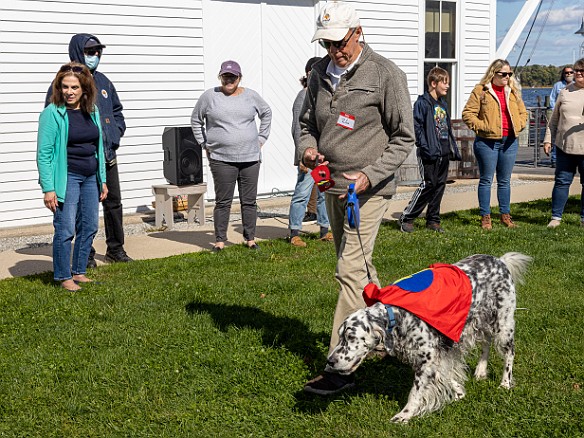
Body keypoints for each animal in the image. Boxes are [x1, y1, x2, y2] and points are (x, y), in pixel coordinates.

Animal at [326, 253, 532, 424]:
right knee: (486, 343)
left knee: (510, 353)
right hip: (480, 322)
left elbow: (415, 392)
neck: (398, 315)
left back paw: (505, 384)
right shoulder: (438, 354)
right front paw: (458, 392)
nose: (330, 361)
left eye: (351, 337)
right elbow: (446, 375)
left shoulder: (427, 358)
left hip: (503, 324)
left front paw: (404, 415)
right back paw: (481, 371)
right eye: (339, 336)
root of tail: (500, 261)